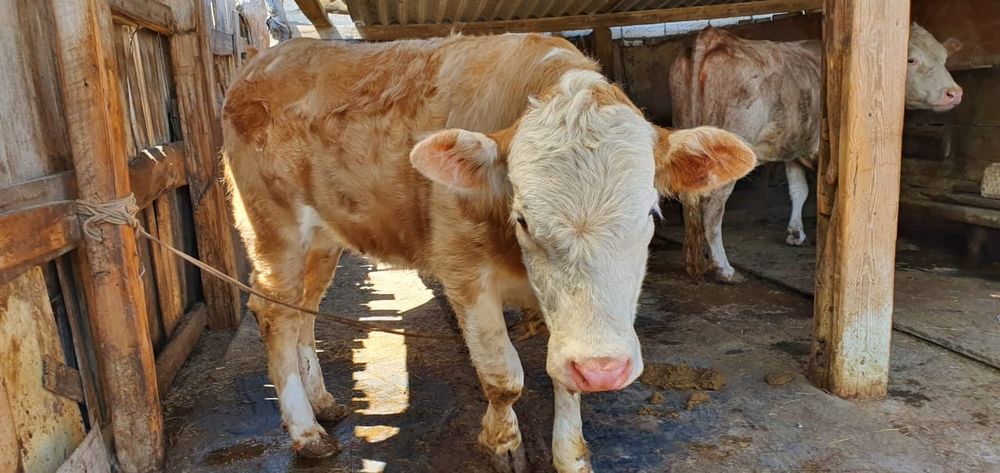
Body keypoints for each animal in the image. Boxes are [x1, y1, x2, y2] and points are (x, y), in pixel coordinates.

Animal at [222, 33, 756, 472]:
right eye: (523, 219)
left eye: (650, 213)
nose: (604, 370)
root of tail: (267, 58)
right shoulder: (464, 274)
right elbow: (504, 376)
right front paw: (503, 443)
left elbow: (562, 377)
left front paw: (570, 455)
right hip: (274, 231)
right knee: (274, 314)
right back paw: (306, 432)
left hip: (323, 241)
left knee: (304, 312)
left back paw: (323, 402)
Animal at [671, 23, 964, 283]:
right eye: (911, 59)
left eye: (944, 58)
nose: (954, 92)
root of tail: (713, 36)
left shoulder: (793, 148)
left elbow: (798, 191)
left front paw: (795, 234)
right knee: (713, 206)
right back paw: (724, 269)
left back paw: (694, 263)